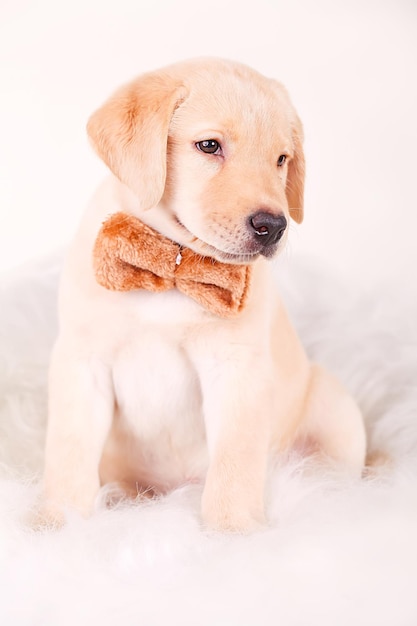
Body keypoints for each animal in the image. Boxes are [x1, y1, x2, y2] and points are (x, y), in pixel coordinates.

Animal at [41, 58, 364, 528]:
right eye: (209, 146)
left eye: (281, 159)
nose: (274, 226)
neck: (173, 267)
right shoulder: (83, 363)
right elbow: (68, 452)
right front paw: (54, 521)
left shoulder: (237, 371)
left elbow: (234, 461)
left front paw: (231, 528)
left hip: (336, 410)